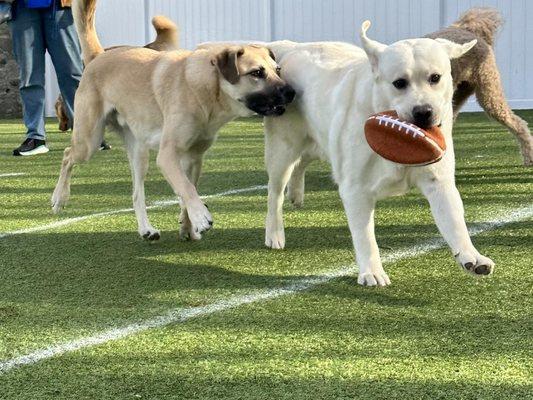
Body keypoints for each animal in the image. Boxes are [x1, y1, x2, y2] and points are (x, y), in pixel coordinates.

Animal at [51, 0, 296, 241]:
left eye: (278, 70)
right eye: (256, 73)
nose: (292, 92)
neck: (206, 89)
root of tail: (99, 56)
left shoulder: (193, 157)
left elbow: (188, 188)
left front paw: (188, 226)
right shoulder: (167, 155)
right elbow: (186, 188)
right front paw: (200, 217)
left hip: (139, 153)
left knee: (136, 194)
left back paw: (146, 229)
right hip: (89, 140)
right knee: (67, 155)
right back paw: (59, 197)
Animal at [264, 21, 492, 286]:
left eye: (435, 78)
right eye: (399, 83)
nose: (423, 112)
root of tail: (291, 48)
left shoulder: (439, 182)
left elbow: (455, 222)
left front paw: (471, 256)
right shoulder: (355, 189)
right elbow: (365, 235)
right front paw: (371, 271)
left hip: (319, 140)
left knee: (302, 163)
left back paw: (296, 194)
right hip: (283, 149)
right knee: (275, 191)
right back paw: (274, 233)